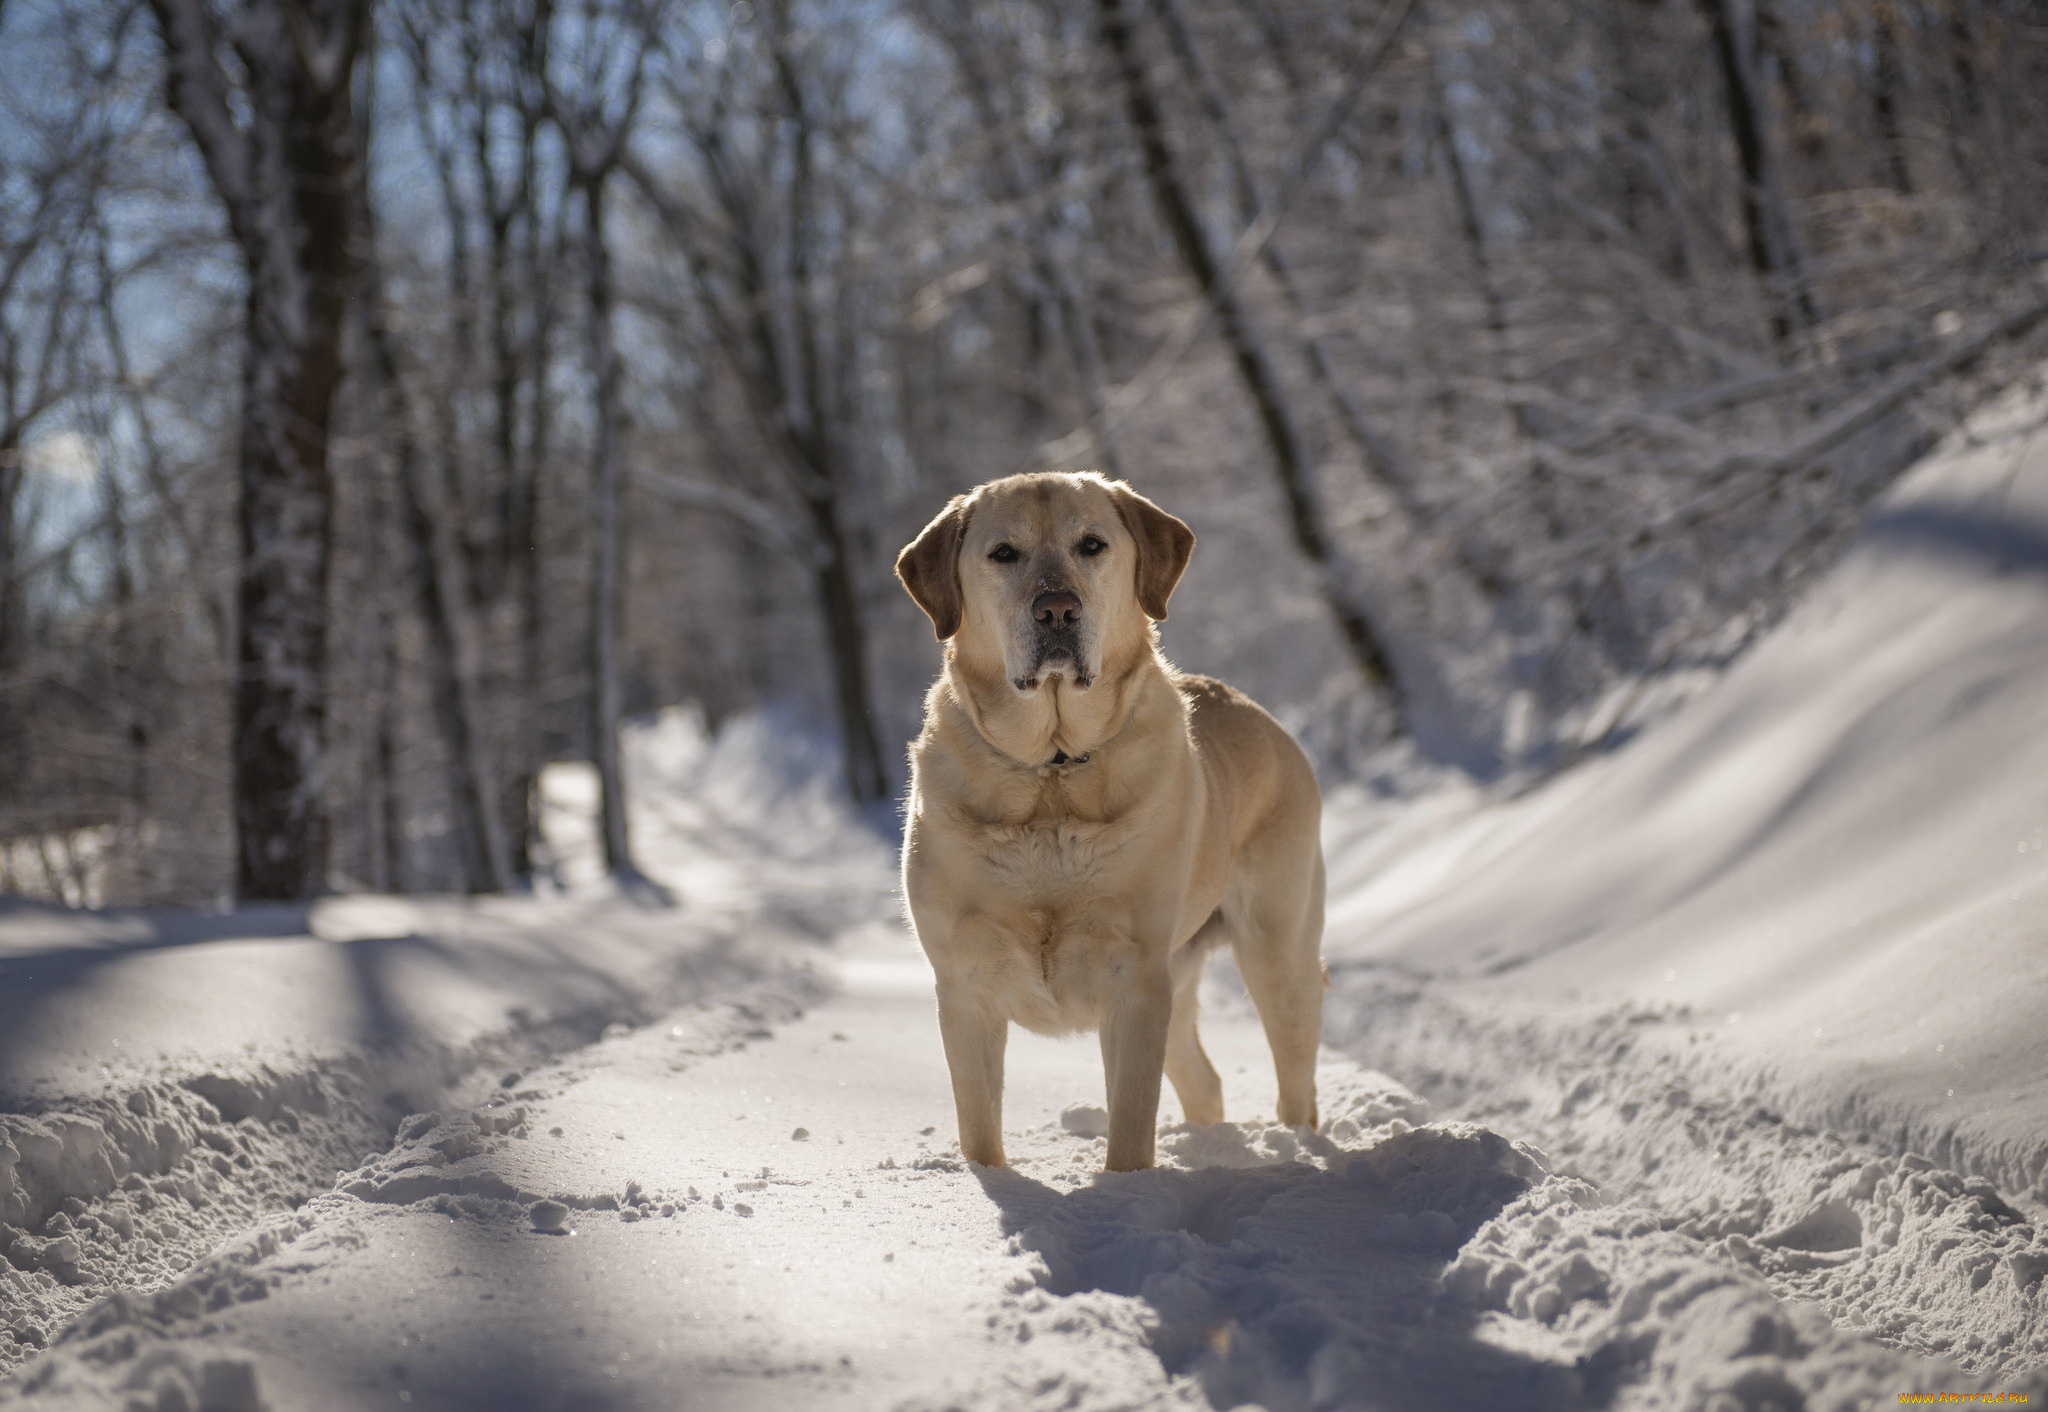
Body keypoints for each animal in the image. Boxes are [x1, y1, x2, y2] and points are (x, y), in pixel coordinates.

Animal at [897, 473, 1327, 1164]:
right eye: (1003, 553)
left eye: (1092, 545)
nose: (1056, 609)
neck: (1051, 773)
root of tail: (1257, 709)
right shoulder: (964, 984)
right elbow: (978, 1129)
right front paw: (989, 1180)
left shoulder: (1135, 983)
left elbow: (1130, 1122)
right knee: (1205, 1081)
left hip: (1276, 949)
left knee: (1296, 1079)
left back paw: (1298, 1149)